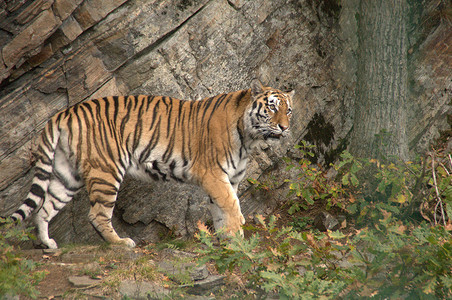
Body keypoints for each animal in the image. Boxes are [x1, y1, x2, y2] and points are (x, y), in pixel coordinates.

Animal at [8, 79, 294, 248]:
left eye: (288, 110)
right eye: (271, 107)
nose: (284, 127)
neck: (248, 136)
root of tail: (66, 112)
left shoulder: (228, 179)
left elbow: (221, 211)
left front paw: (229, 241)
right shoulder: (214, 175)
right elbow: (232, 207)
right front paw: (238, 239)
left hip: (67, 175)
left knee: (44, 209)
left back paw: (47, 244)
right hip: (106, 171)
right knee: (96, 214)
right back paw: (121, 243)